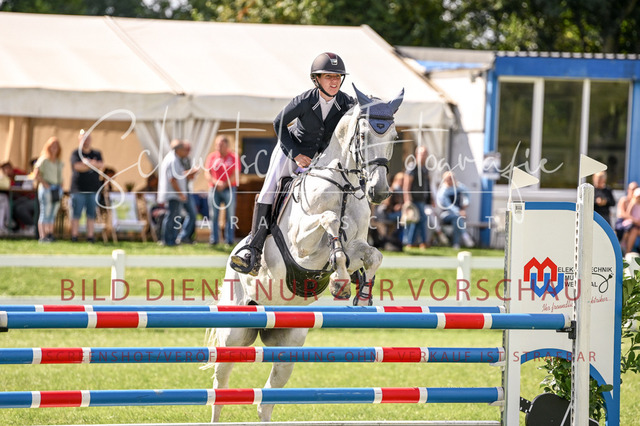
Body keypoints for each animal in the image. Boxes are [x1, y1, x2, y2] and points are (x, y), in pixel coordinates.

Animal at [205, 84, 404, 422]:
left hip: (289, 342)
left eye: (393, 135)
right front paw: (340, 280)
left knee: (265, 401)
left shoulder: (356, 243)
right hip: (235, 333)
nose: (379, 192)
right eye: (363, 135)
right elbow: (329, 221)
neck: (342, 185)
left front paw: (359, 291)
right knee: (222, 383)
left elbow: (370, 255)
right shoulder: (301, 246)